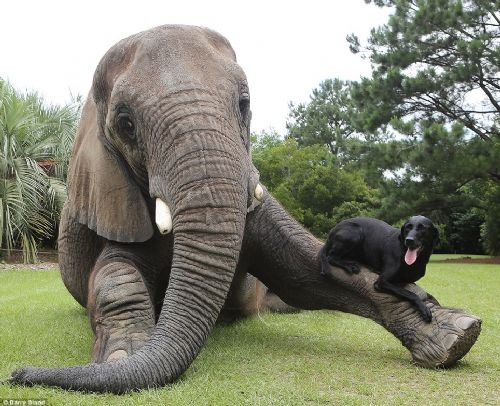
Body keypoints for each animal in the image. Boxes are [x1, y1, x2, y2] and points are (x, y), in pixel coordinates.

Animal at [9, 24, 480, 394]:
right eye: (125, 123)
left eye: (244, 104)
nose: (16, 374)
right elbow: (113, 275)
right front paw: (123, 359)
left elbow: (306, 267)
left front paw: (456, 334)